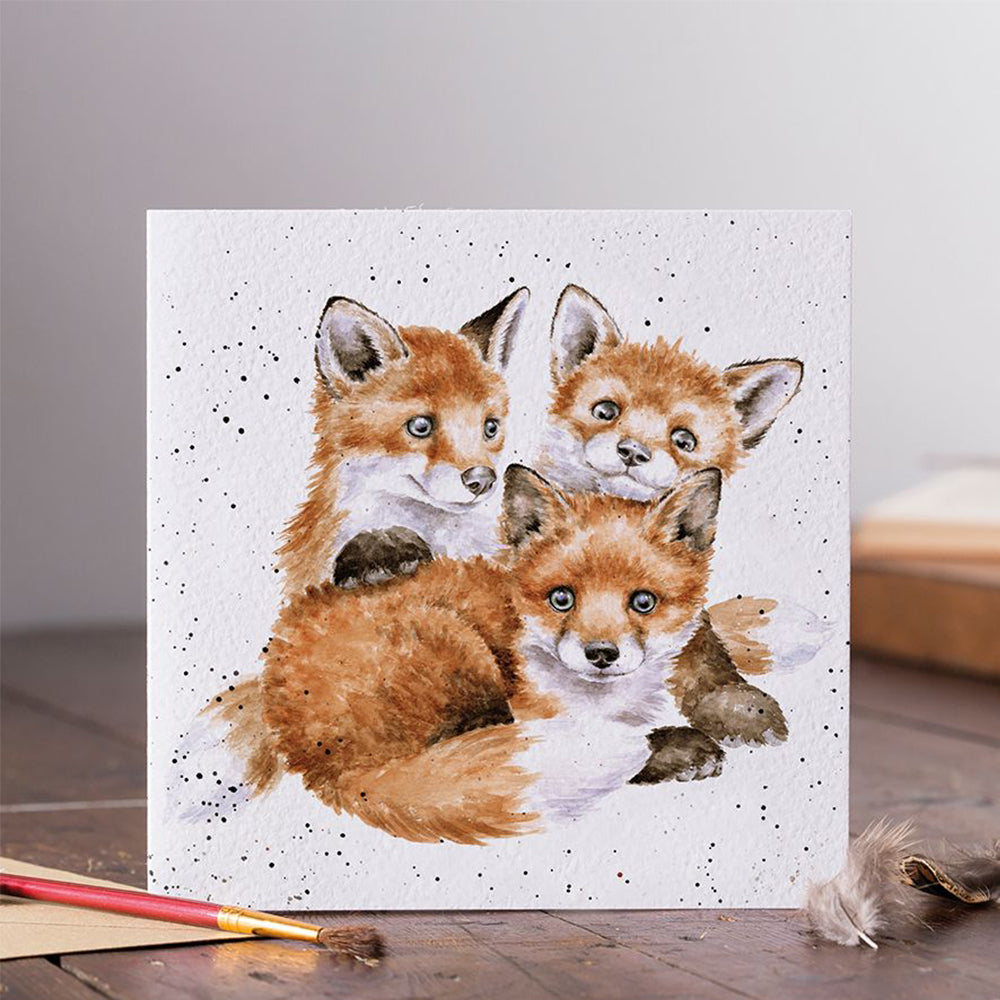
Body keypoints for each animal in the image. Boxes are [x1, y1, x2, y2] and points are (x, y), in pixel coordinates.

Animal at [194, 465, 788, 844]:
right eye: (562, 598)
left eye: (643, 602)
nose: (600, 653)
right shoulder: (535, 710)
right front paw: (678, 745)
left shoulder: (693, 650)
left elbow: (715, 677)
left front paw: (748, 714)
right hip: (459, 651)